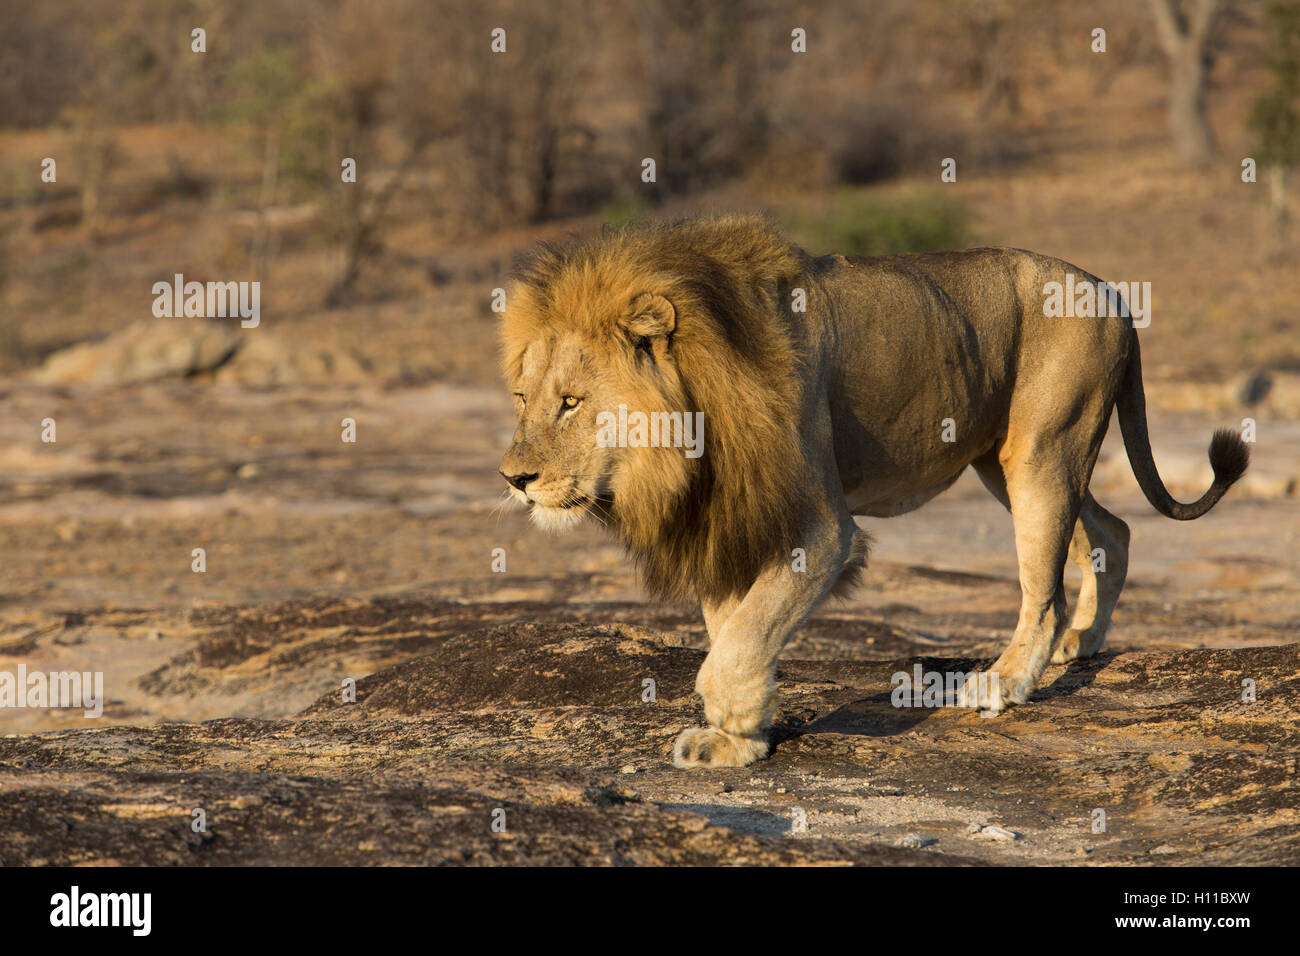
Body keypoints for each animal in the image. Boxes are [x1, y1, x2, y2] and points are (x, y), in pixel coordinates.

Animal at [498, 215, 1248, 768]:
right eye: (521, 399)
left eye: (571, 403)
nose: (514, 480)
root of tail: (1113, 294)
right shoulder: (730, 518)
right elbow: (733, 627)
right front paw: (737, 741)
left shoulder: (819, 527)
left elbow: (742, 637)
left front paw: (733, 718)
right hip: (1011, 461)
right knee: (1112, 530)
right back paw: (1083, 642)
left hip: (1042, 451)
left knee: (1044, 591)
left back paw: (1005, 682)